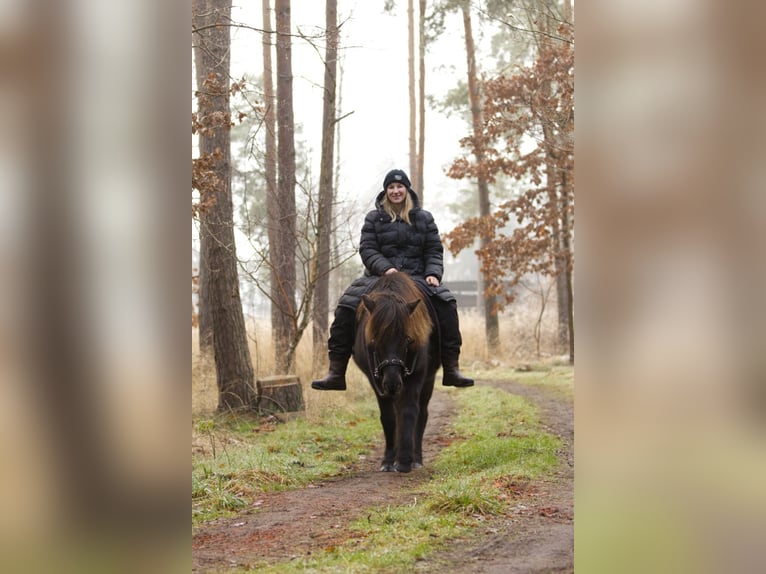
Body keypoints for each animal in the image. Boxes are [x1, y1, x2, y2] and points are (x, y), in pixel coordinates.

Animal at [352, 276, 438, 474]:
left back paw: (416, 459)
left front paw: (405, 460)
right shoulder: (376, 381)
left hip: (427, 381)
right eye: (374, 339)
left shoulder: (416, 377)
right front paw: (388, 461)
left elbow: (409, 411)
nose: (392, 383)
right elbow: (389, 417)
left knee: (422, 414)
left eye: (408, 339)